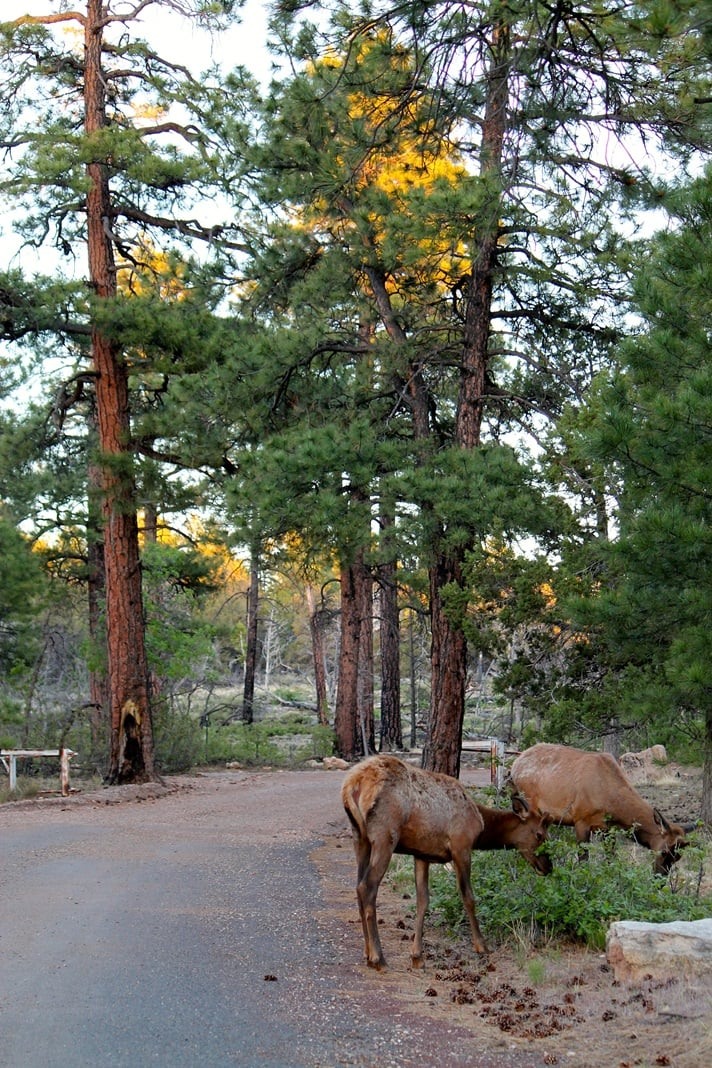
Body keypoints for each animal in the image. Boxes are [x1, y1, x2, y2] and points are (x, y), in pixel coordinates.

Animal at [341, 751, 555, 969]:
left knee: (358, 886)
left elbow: (423, 901)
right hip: (384, 836)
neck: (481, 825)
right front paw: (481, 946)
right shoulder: (461, 847)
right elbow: (468, 897)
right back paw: (378, 957)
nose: (548, 866)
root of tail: (353, 784)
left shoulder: (422, 854)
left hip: (360, 838)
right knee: (367, 886)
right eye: (540, 834)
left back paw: (367, 953)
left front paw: (417, 956)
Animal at [510, 743, 691, 875]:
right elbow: (583, 859)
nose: (660, 878)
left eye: (678, 857)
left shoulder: (607, 829)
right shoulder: (580, 821)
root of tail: (515, 764)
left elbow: (611, 858)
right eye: (664, 851)